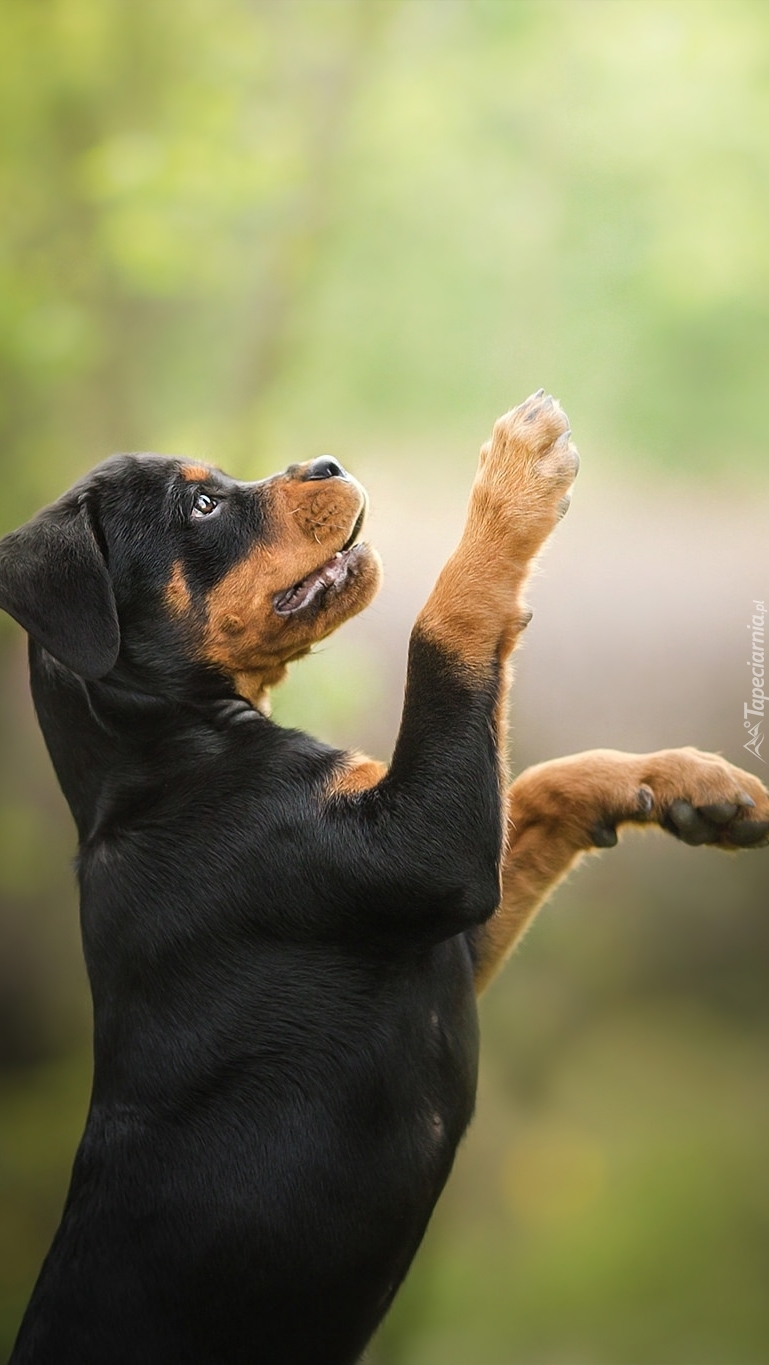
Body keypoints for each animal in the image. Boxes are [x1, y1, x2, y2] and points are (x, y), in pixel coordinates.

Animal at [0, 390, 764, 1359]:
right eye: (201, 506)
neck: (166, 758)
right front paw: (514, 477)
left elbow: (536, 781)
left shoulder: (445, 926)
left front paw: (687, 783)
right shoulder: (426, 852)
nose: (325, 462)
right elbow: (440, 632)